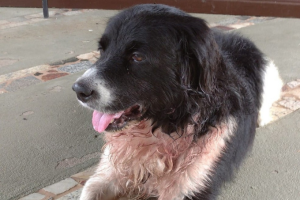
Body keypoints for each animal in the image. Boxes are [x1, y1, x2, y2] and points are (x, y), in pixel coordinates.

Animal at [72, 3, 282, 199]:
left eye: (137, 57)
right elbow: (90, 187)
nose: (78, 90)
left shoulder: (192, 186)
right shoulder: (107, 172)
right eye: (101, 50)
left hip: (267, 73)